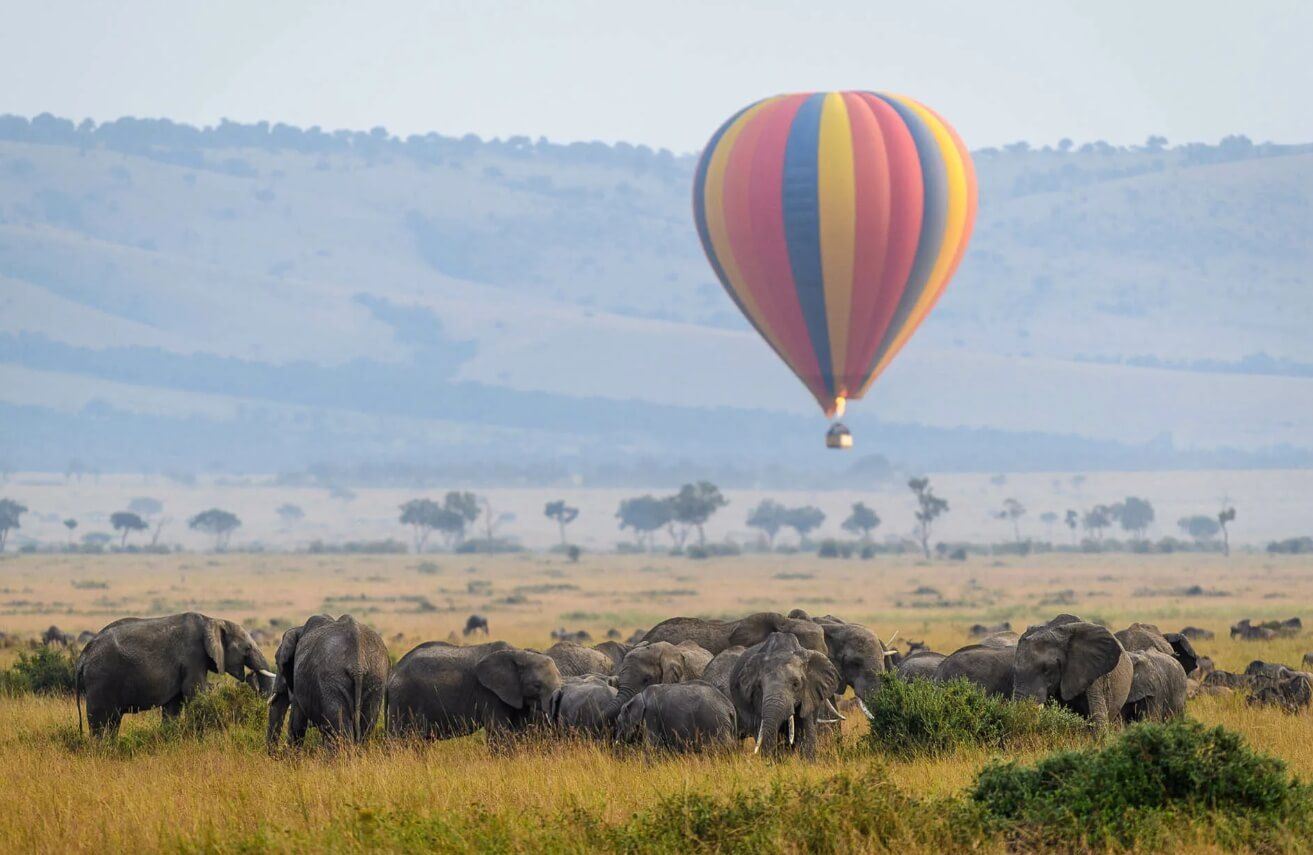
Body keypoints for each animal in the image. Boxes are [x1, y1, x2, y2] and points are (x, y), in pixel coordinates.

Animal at [74, 612, 274, 740]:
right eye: (247, 648)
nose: (250, 675)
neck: (212, 620)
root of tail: (83, 658)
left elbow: (173, 705)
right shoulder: (192, 657)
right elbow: (195, 694)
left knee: (113, 720)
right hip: (100, 680)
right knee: (100, 720)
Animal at [266, 614, 386, 751]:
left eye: (277, 662)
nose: (275, 752)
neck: (299, 629)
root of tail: (357, 666)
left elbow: (297, 722)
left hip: (331, 681)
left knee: (341, 731)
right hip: (375, 678)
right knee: (365, 727)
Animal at [383, 646, 559, 740]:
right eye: (537, 685)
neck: (519, 653)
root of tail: (391, 674)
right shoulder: (489, 693)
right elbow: (498, 731)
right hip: (403, 699)